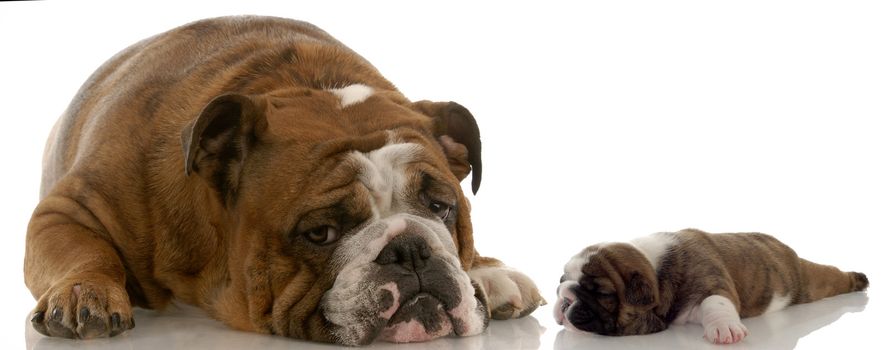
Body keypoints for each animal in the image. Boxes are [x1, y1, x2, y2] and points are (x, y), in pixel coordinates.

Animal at [22, 16, 544, 344]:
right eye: (320, 233)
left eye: (441, 207)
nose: (410, 249)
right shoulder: (67, 209)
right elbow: (82, 249)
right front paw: (82, 290)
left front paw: (487, 271)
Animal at [556, 230, 868, 344]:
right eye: (561, 282)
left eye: (601, 293)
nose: (564, 299)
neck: (657, 272)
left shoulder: (711, 282)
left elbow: (715, 302)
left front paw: (725, 328)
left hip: (807, 281)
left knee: (830, 277)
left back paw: (858, 279)